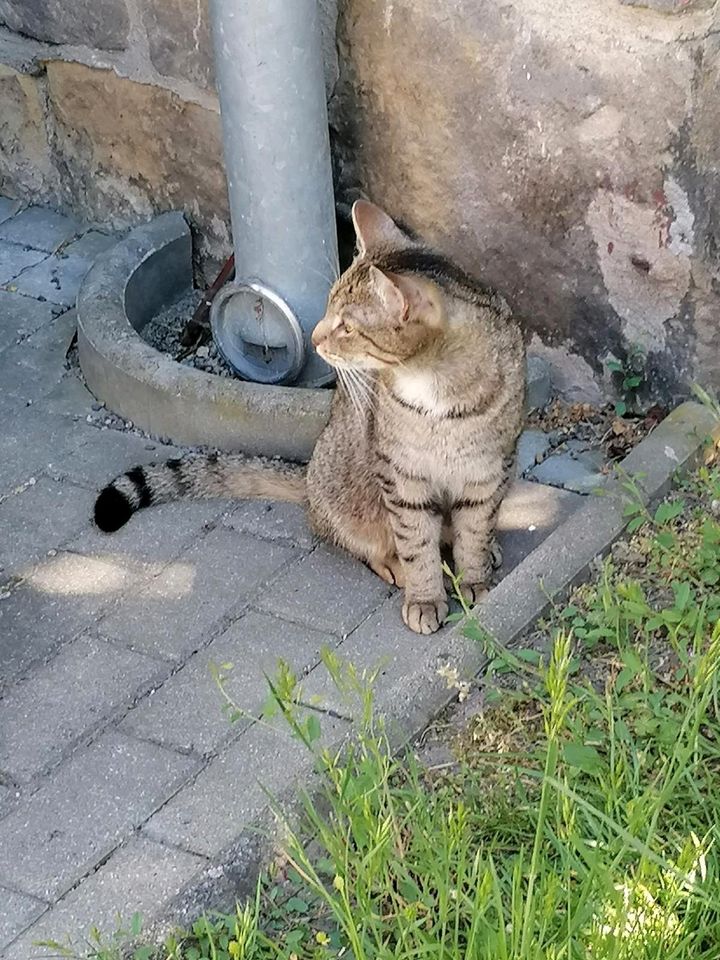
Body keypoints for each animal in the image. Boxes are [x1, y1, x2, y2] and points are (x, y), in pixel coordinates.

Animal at [94, 202, 524, 632]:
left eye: (347, 327)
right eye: (328, 305)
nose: (316, 338)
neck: (437, 388)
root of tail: (308, 478)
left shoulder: (488, 470)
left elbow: (474, 531)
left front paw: (475, 579)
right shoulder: (402, 478)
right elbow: (416, 543)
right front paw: (424, 596)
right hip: (348, 494)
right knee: (357, 539)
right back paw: (394, 564)